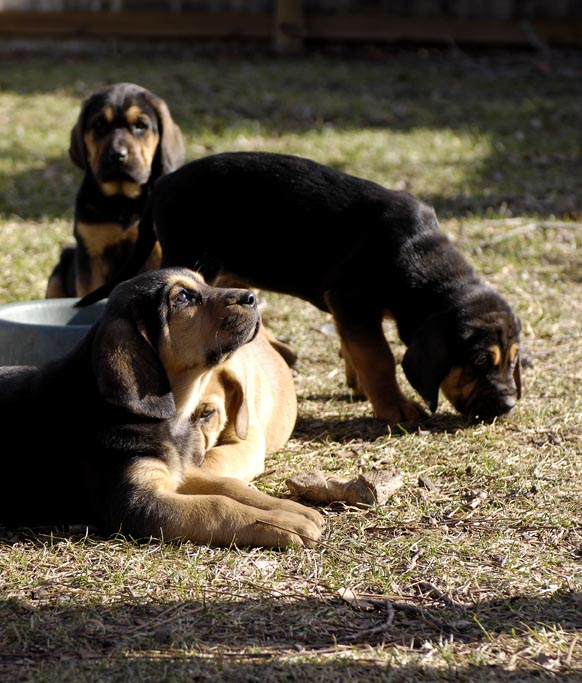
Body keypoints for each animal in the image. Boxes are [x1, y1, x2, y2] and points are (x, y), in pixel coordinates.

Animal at [0, 268, 324, 552]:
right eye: (182, 298)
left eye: (203, 283)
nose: (252, 297)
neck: (169, 416)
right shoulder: (137, 503)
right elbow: (217, 505)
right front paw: (284, 524)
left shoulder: (179, 469)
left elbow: (229, 486)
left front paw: (291, 509)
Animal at [45, 82, 185, 300]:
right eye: (100, 125)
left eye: (140, 126)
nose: (117, 155)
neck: (122, 200)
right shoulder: (91, 253)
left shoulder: (155, 250)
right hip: (61, 268)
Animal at [78, 152, 524, 424]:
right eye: (480, 360)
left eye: (514, 360)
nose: (509, 404)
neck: (421, 261)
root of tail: (163, 185)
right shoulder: (350, 298)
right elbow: (379, 356)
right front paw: (394, 407)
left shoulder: (351, 310)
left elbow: (356, 347)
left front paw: (357, 383)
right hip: (195, 256)